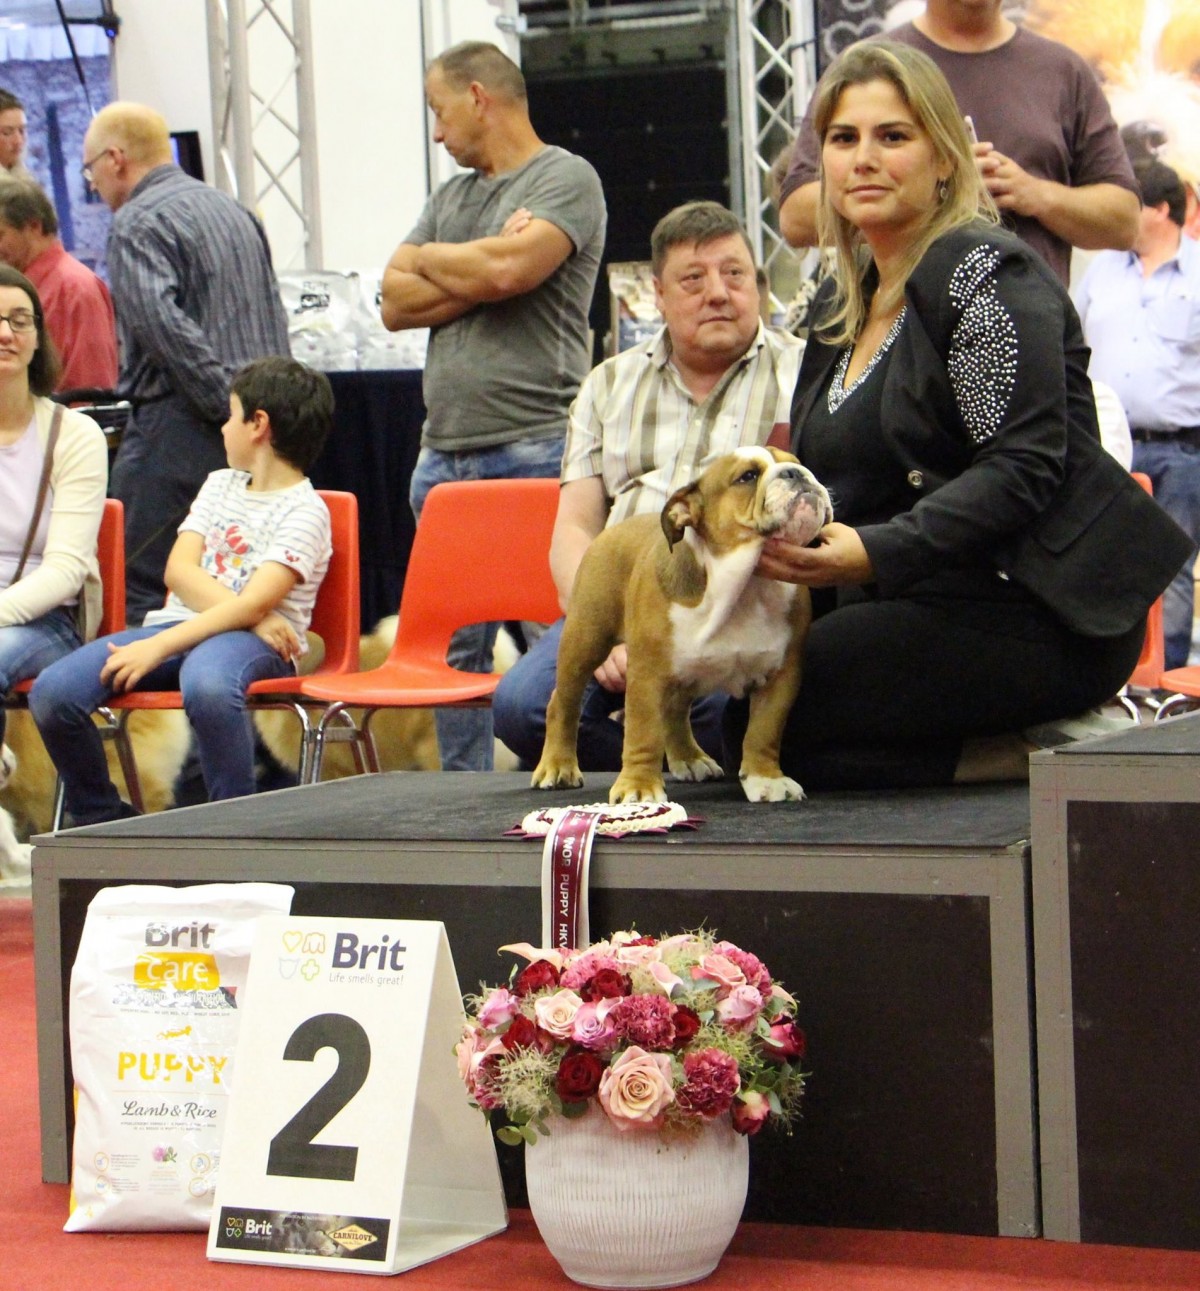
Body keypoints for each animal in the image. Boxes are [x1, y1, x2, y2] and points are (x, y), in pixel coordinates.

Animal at [534, 449, 830, 800]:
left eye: (796, 461)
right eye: (747, 477)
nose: (795, 473)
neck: (746, 584)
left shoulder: (781, 675)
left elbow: (763, 731)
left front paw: (767, 779)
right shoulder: (646, 675)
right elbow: (643, 732)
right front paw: (638, 788)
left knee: (675, 709)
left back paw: (690, 759)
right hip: (586, 640)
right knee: (563, 704)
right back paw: (557, 766)